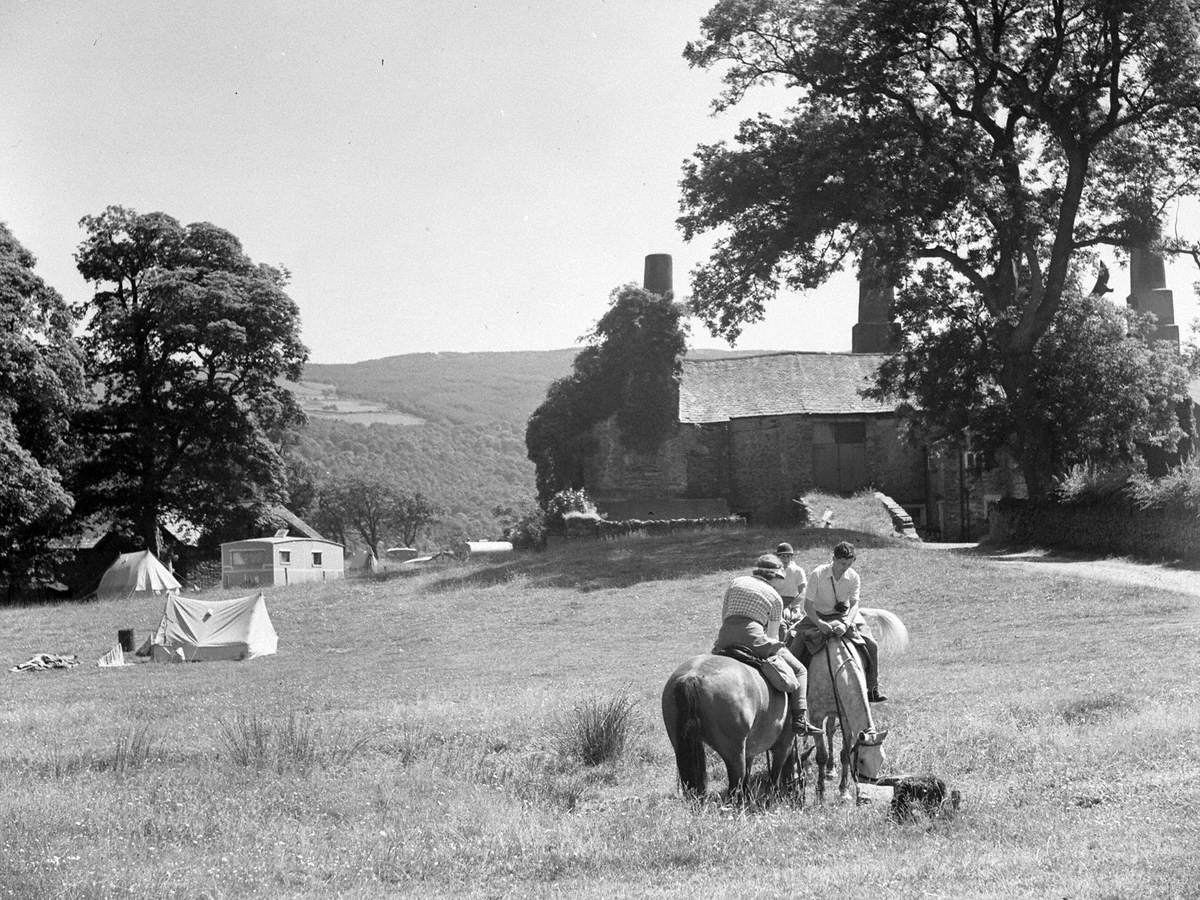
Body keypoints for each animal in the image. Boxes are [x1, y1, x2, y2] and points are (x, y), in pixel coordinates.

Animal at [662, 657, 801, 801]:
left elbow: (748, 776)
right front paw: (772, 798)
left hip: (681, 747)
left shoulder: (750, 750)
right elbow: (774, 775)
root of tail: (691, 676)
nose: (796, 795)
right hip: (734, 753)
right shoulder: (784, 745)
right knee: (735, 785)